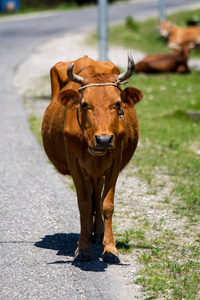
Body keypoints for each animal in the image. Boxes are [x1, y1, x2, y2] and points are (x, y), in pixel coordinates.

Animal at [41, 53, 143, 262]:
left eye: (117, 104)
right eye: (84, 104)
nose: (103, 139)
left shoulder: (115, 162)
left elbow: (106, 204)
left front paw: (110, 248)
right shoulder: (75, 164)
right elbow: (84, 204)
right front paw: (83, 248)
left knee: (97, 193)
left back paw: (98, 233)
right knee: (89, 195)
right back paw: (89, 232)